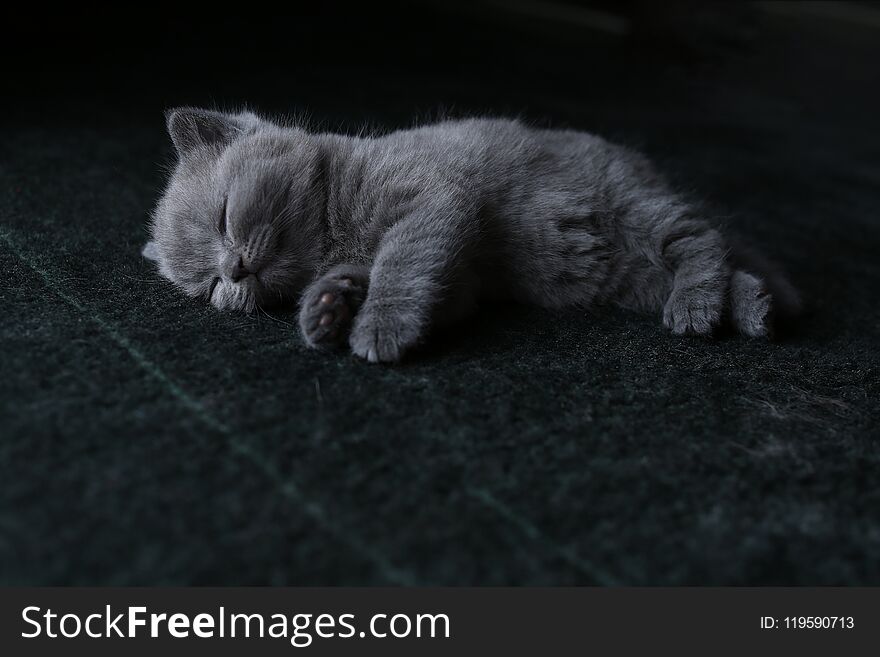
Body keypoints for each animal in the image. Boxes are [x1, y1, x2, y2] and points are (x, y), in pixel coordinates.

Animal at [143, 109, 796, 362]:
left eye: (224, 217)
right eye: (207, 287)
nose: (232, 271)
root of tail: (640, 165)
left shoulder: (434, 201)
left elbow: (404, 262)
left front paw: (379, 327)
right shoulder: (460, 285)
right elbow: (426, 289)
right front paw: (327, 308)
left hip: (634, 209)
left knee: (699, 240)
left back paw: (699, 307)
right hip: (625, 276)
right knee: (719, 261)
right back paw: (754, 306)